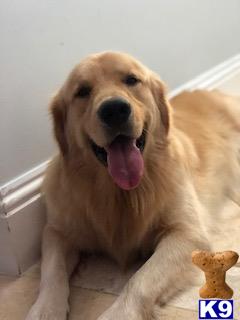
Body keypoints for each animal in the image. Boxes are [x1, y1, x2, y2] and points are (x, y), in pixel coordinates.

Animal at [26, 52, 240, 320]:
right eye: (82, 91)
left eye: (131, 79)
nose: (114, 110)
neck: (119, 193)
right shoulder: (56, 231)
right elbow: (51, 271)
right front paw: (44, 309)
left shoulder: (187, 233)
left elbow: (141, 280)